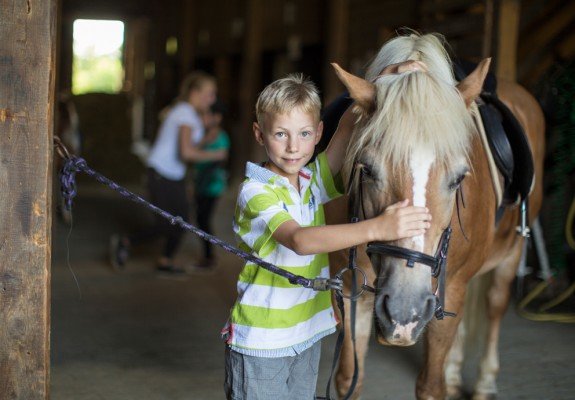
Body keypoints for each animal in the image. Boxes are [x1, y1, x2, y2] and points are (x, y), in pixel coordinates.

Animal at [324, 32, 544, 400]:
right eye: (366, 169)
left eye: (459, 178)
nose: (404, 312)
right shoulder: (350, 289)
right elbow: (348, 380)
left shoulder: (449, 290)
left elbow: (430, 386)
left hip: (509, 256)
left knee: (495, 304)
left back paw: (484, 382)